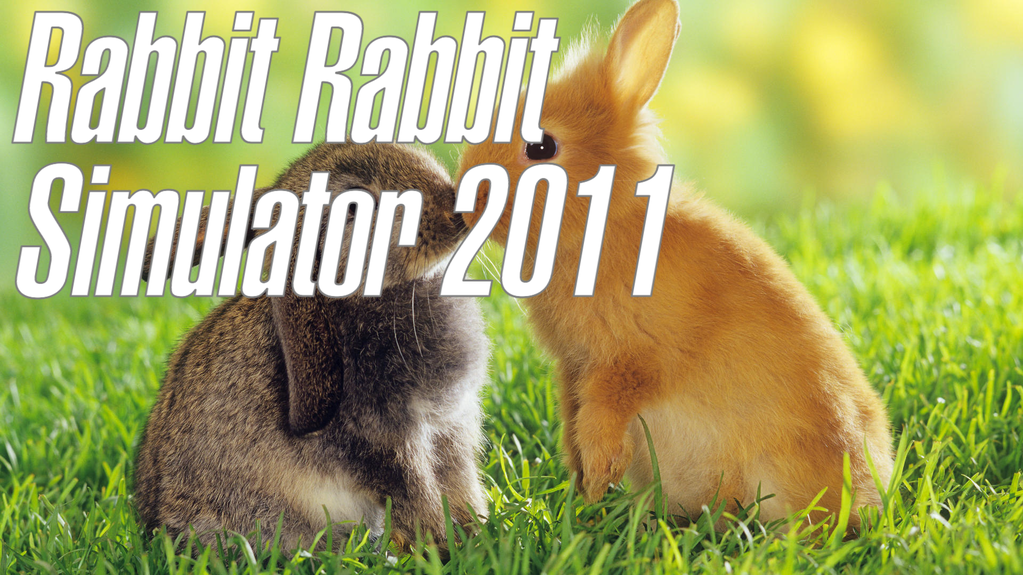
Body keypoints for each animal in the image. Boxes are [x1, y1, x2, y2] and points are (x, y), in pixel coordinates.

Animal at [134, 142, 490, 553]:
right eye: (353, 207)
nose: (456, 212)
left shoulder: (450, 427)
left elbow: (459, 483)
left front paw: (477, 531)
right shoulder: (383, 438)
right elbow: (416, 492)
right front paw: (444, 545)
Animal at [457, 0, 893, 531]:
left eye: (542, 147)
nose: (465, 205)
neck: (606, 219)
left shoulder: (628, 362)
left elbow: (602, 422)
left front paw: (596, 486)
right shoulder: (573, 368)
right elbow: (573, 423)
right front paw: (583, 491)